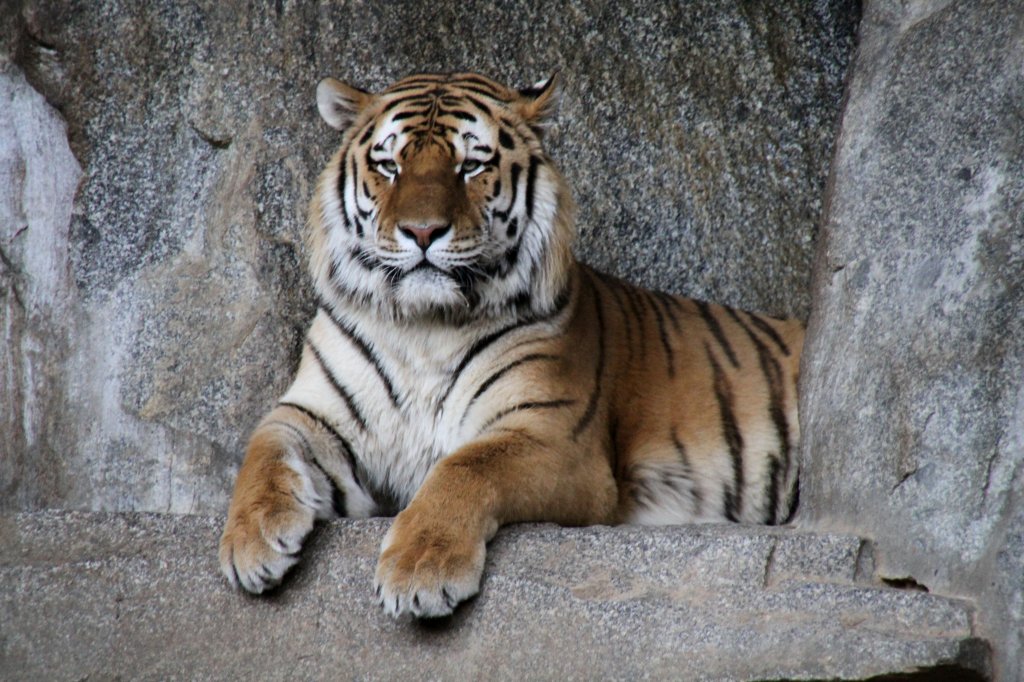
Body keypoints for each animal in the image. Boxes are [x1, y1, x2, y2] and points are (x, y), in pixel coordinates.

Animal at [220, 70, 802, 614]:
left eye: (470, 166)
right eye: (390, 167)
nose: (422, 231)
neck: (423, 327)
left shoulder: (554, 435)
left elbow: (466, 466)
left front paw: (420, 569)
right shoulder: (314, 413)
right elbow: (263, 449)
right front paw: (250, 541)